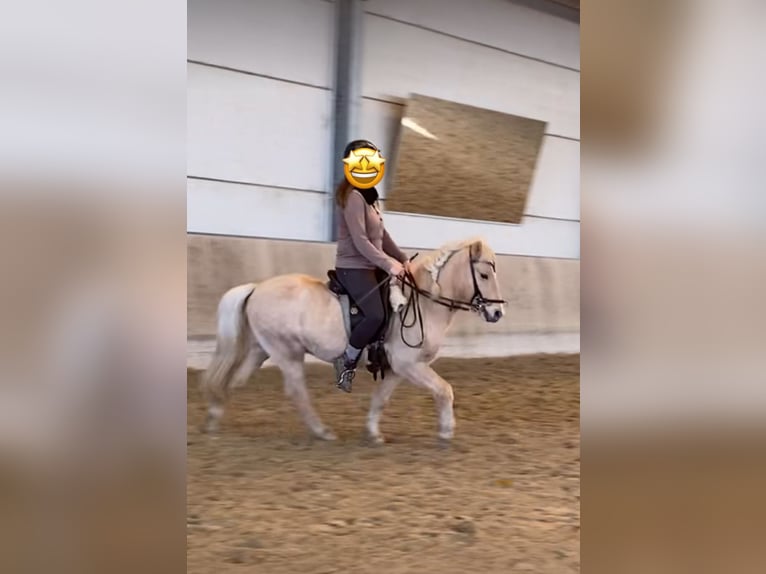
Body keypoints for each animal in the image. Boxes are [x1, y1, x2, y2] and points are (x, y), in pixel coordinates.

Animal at [201, 236, 506, 443]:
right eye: (483, 274)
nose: (497, 312)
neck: (424, 302)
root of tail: (256, 288)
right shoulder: (409, 365)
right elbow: (444, 390)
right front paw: (445, 432)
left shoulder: (398, 369)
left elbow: (381, 398)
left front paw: (372, 432)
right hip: (287, 353)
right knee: (296, 392)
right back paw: (322, 431)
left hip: (260, 350)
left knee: (237, 381)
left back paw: (215, 420)